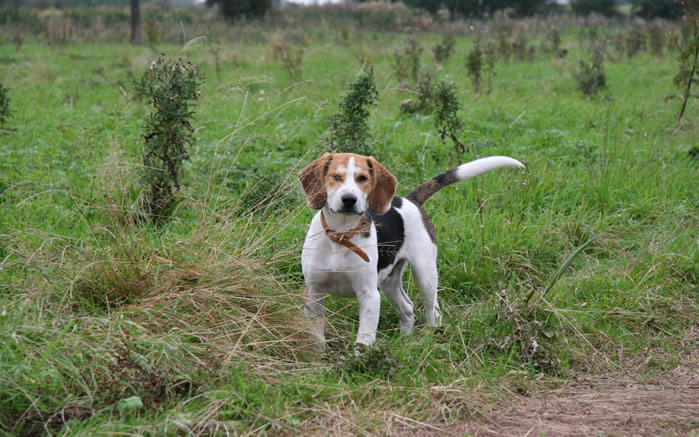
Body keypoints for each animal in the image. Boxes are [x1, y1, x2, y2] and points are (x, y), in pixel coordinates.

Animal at [298, 153, 524, 348]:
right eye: (336, 177)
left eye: (363, 178)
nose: (349, 199)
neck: (341, 236)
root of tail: (410, 199)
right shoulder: (313, 292)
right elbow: (316, 337)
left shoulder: (369, 296)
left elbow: (363, 339)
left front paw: (358, 362)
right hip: (389, 282)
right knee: (407, 308)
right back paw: (404, 343)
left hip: (425, 274)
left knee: (433, 311)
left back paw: (430, 338)